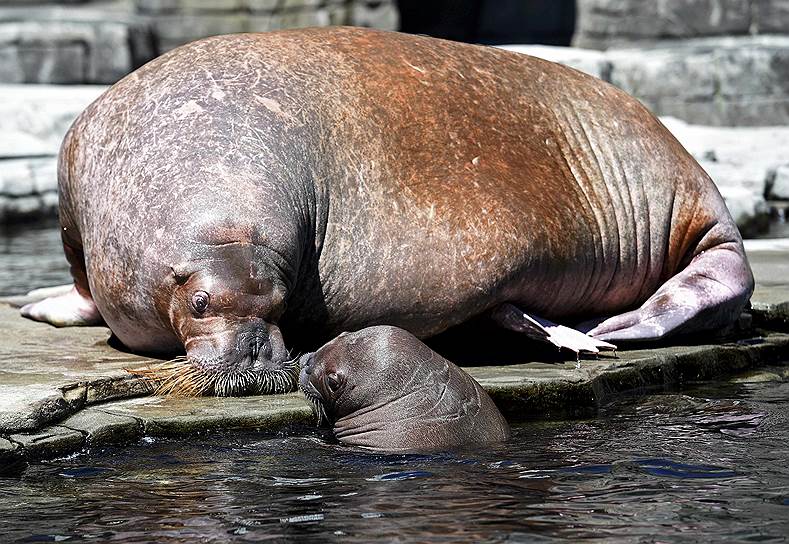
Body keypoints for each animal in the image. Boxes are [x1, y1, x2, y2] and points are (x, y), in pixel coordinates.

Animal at [23, 27, 752, 394]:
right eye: (199, 303)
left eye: (282, 301)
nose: (256, 358)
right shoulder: (76, 218)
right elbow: (83, 284)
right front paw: (42, 302)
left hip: (693, 213)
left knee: (716, 270)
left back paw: (607, 329)